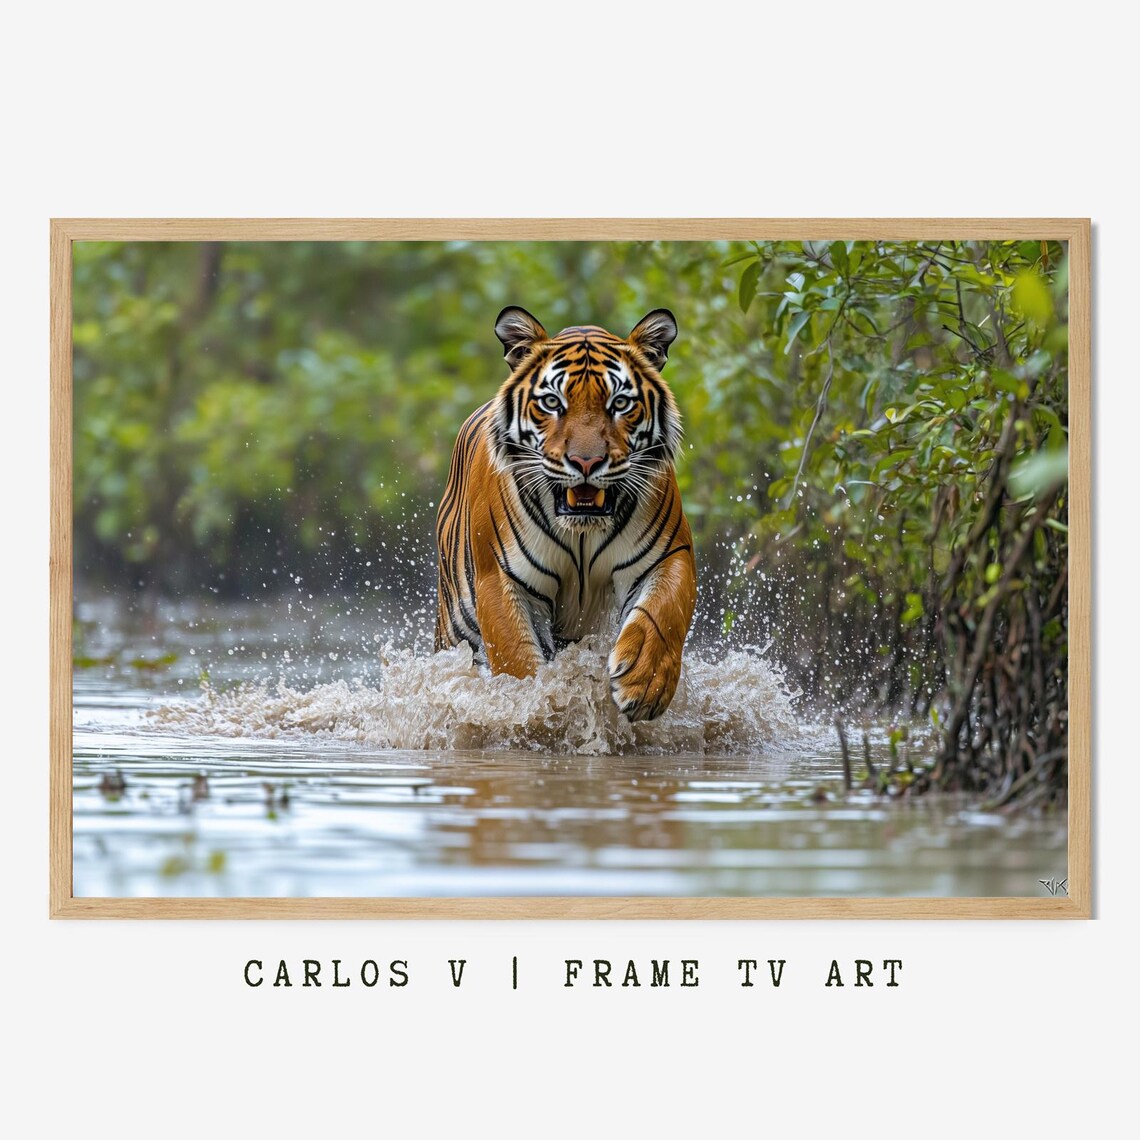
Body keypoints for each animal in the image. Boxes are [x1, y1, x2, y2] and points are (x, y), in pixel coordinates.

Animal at [434, 306, 697, 722]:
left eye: (620, 404)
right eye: (552, 403)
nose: (586, 462)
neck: (582, 531)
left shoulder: (668, 554)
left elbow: (663, 613)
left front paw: (645, 682)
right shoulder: (502, 578)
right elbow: (517, 660)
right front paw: (535, 709)